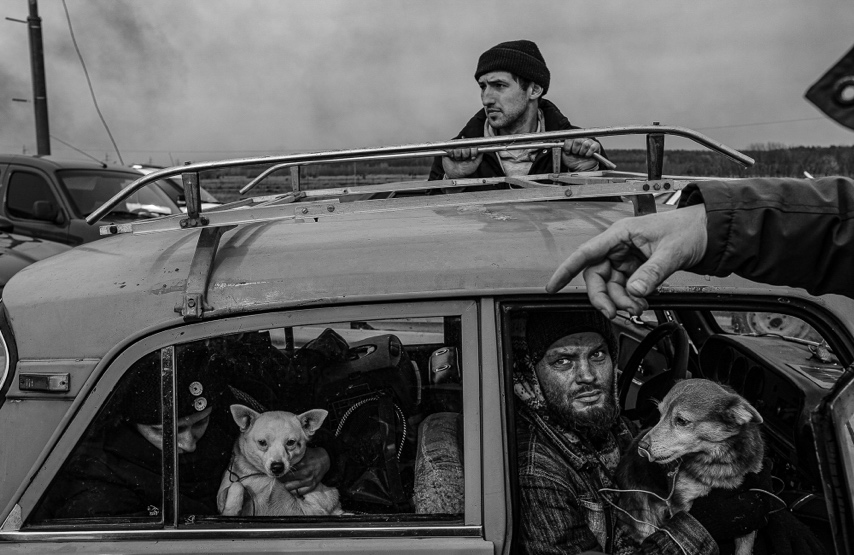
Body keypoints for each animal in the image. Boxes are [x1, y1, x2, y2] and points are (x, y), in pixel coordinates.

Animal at [614, 379, 764, 554]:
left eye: (681, 420)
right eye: (660, 414)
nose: (642, 446)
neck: (716, 460)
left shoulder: (749, 510)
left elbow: (744, 547)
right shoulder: (682, 505)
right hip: (642, 519)